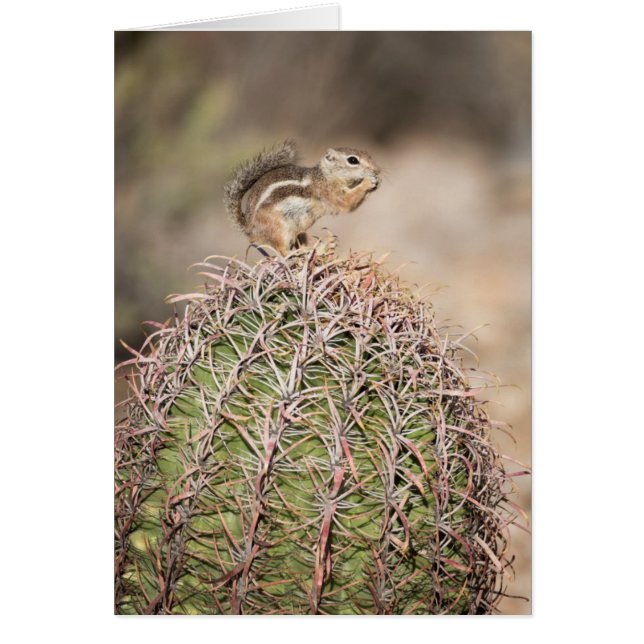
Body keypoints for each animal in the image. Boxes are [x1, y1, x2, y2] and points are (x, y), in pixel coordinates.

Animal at [223, 139, 380, 254]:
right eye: (353, 160)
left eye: (368, 154)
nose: (377, 170)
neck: (324, 176)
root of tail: (249, 229)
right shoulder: (328, 193)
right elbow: (346, 203)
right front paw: (368, 182)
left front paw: (376, 182)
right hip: (279, 228)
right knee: (283, 252)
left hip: (298, 227)